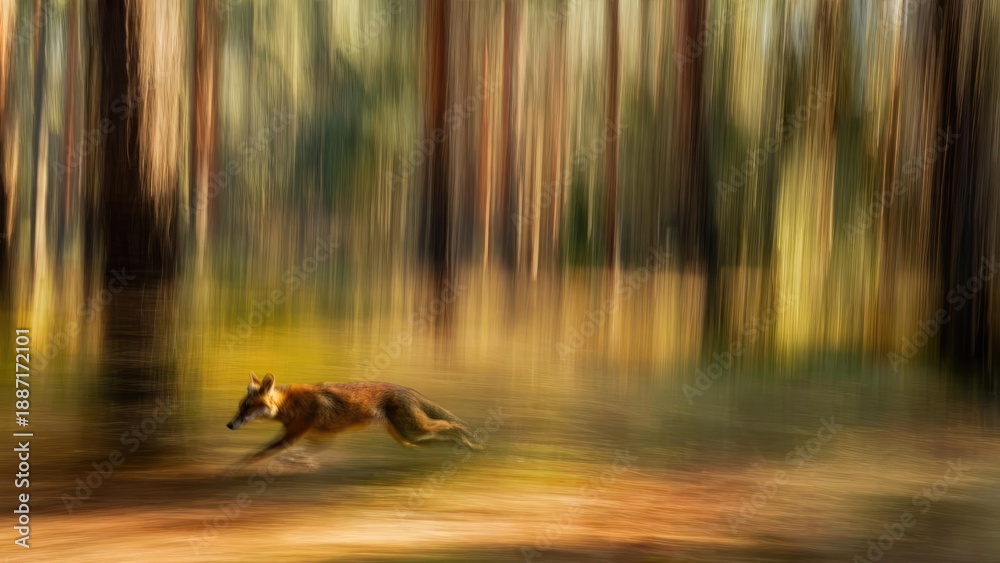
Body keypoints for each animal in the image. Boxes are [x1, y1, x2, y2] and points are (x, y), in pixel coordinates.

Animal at [227, 372, 483, 465]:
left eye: (247, 408)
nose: (229, 425)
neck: (290, 404)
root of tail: (409, 389)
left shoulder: (292, 436)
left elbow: (259, 453)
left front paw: (237, 467)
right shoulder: (320, 437)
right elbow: (301, 454)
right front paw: (300, 462)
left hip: (416, 431)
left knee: (452, 425)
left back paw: (470, 443)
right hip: (411, 438)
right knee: (443, 436)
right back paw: (464, 448)